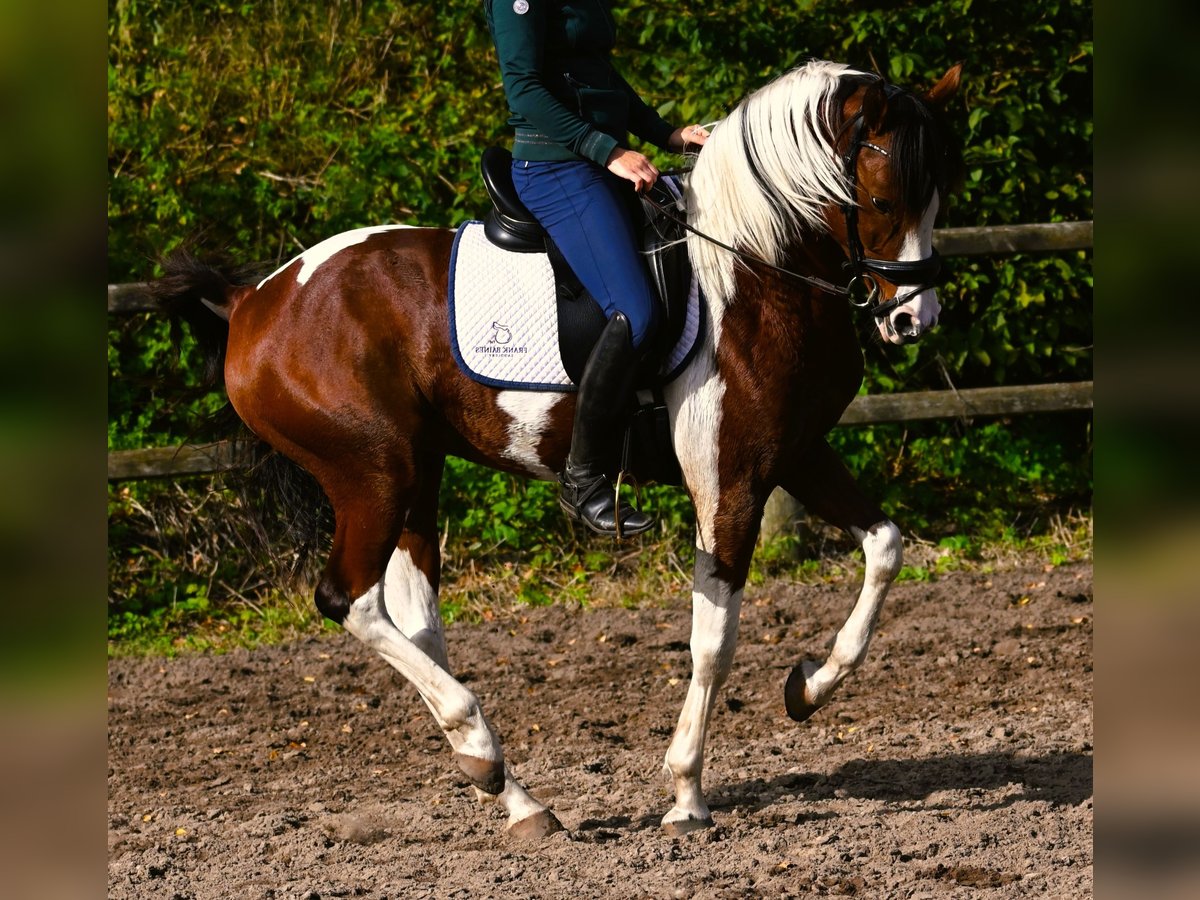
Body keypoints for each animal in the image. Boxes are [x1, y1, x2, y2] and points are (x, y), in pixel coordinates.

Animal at [154, 60, 960, 844]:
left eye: (937, 196)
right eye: (882, 197)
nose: (913, 320)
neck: (753, 271)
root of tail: (253, 300)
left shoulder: (795, 453)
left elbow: (885, 547)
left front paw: (810, 687)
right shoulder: (729, 479)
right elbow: (714, 641)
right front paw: (686, 795)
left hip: (415, 474)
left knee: (414, 619)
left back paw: (515, 797)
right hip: (374, 473)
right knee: (348, 600)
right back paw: (481, 748)